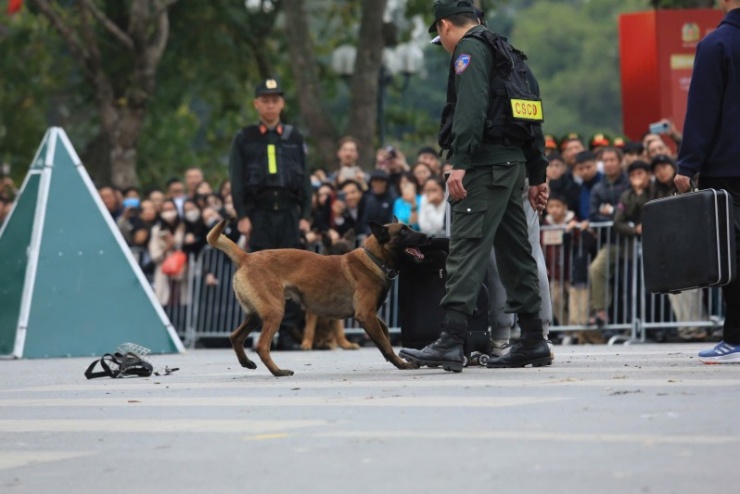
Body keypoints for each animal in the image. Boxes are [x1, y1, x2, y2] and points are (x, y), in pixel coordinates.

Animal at [207, 218, 428, 376]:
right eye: (403, 231)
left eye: (409, 227)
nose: (426, 235)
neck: (375, 259)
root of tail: (247, 257)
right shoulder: (365, 314)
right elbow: (385, 342)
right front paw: (401, 364)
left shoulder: (370, 315)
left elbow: (385, 333)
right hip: (274, 312)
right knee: (261, 346)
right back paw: (278, 372)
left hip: (255, 315)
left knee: (235, 337)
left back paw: (246, 362)